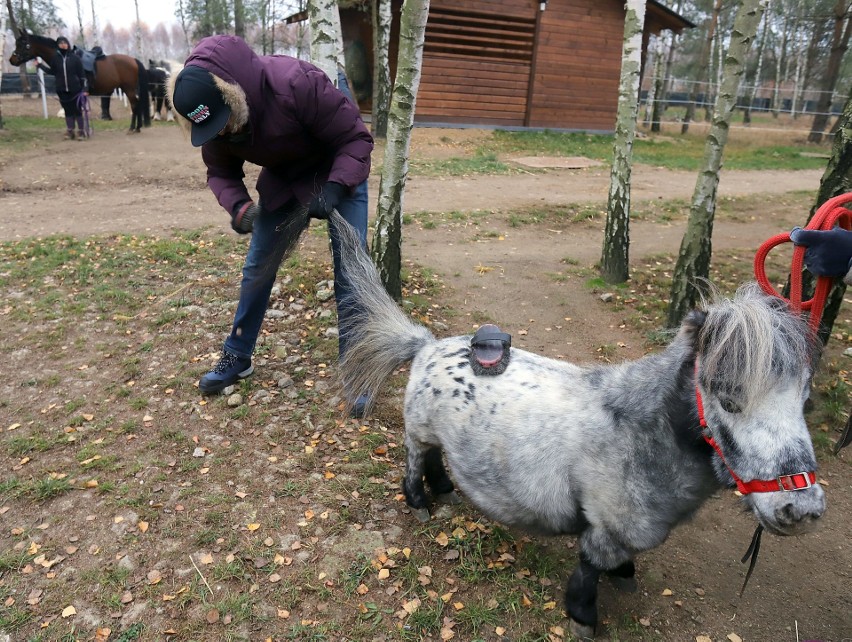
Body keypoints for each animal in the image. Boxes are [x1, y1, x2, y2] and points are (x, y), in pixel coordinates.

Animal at [9, 29, 151, 131]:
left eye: (23, 44)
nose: (12, 60)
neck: (64, 57)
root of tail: (133, 60)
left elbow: (73, 110)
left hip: (129, 89)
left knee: (134, 105)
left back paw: (133, 128)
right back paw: (137, 127)